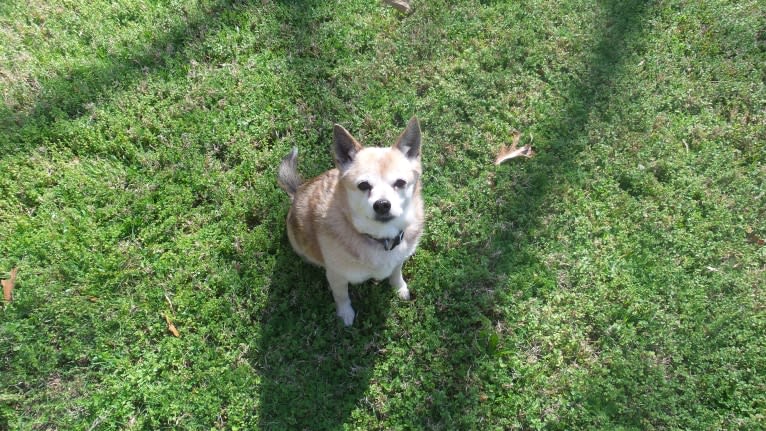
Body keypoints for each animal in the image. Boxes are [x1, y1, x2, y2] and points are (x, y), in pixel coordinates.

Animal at [280, 116, 426, 326]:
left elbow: (396, 272)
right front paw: (345, 314)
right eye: (363, 185)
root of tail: (298, 189)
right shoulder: (336, 276)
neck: (380, 239)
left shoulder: (399, 258)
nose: (382, 205)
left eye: (400, 183)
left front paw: (399, 288)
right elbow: (341, 296)